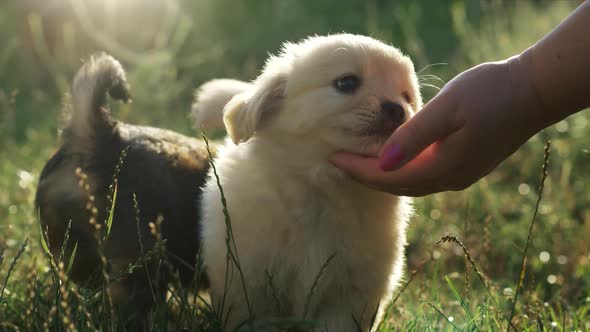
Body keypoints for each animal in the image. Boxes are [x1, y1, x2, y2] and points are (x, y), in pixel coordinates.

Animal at [193, 33, 420, 330]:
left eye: (407, 97)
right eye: (347, 82)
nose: (398, 109)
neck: (322, 186)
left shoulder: (351, 296)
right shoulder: (250, 286)